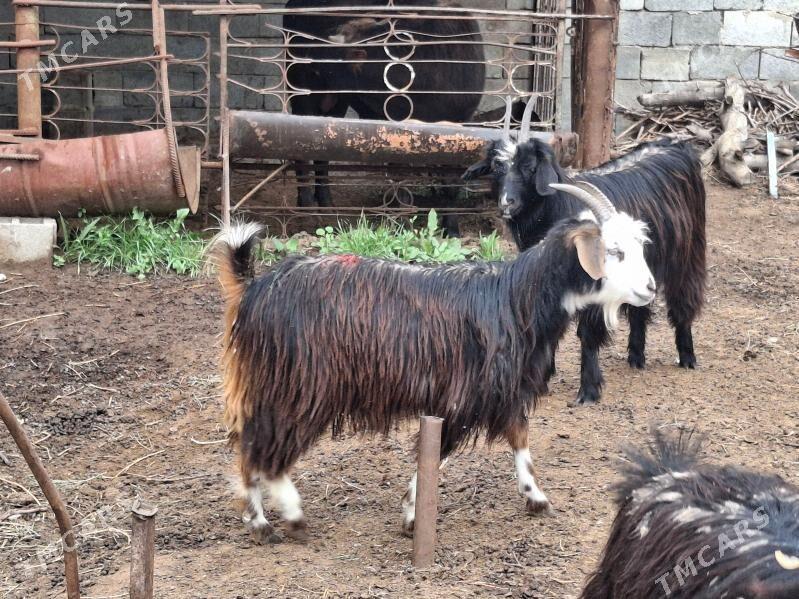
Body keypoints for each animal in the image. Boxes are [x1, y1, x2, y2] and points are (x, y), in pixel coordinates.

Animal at [209, 186, 655, 543]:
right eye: (614, 251)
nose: (650, 287)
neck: (516, 300)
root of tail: (253, 288)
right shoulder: (463, 396)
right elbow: (439, 451)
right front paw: (411, 513)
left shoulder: (503, 391)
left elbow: (519, 439)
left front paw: (536, 497)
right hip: (301, 385)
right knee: (267, 449)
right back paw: (290, 517)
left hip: (265, 384)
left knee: (248, 445)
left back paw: (258, 521)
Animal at [463, 134, 706, 406]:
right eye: (497, 168)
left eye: (530, 167)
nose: (507, 203)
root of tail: (676, 144)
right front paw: (543, 380)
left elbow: (588, 334)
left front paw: (588, 390)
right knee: (639, 310)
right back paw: (636, 356)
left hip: (689, 250)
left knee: (684, 298)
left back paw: (687, 357)